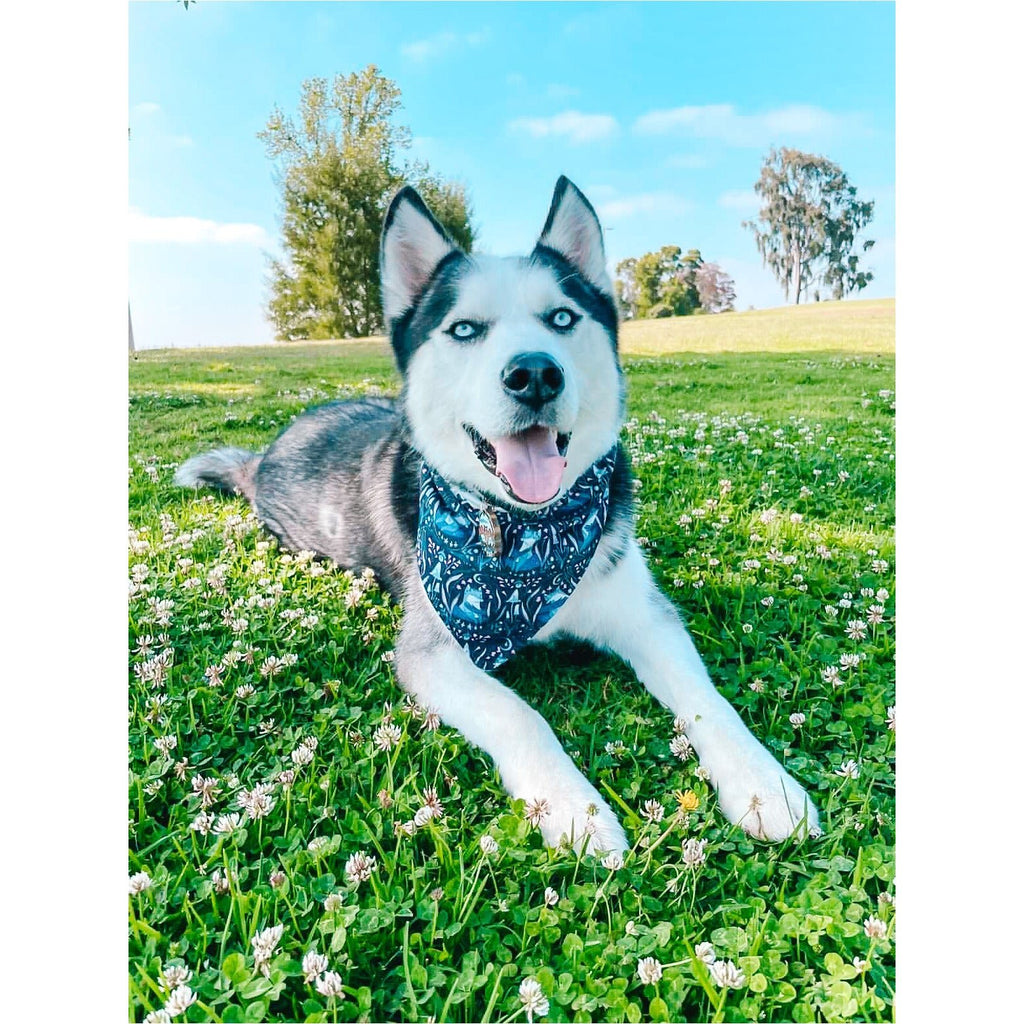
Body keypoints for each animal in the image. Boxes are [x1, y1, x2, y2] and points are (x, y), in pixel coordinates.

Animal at [174, 178, 815, 856]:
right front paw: (574, 808)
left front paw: (765, 785)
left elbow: (708, 700)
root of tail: (266, 455)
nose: (534, 373)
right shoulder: (435, 650)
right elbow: (520, 715)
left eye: (561, 318)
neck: (530, 532)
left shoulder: (646, 616)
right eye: (464, 329)